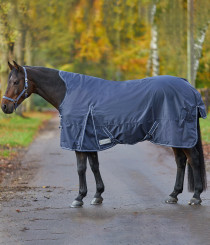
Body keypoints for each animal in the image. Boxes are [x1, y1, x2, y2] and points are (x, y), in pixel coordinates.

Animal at [0, 60, 207, 207]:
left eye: (16, 82)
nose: (5, 107)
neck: (68, 92)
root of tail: (188, 86)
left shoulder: (79, 139)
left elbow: (81, 168)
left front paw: (79, 197)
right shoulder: (89, 140)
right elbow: (94, 166)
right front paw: (97, 195)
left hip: (178, 134)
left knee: (194, 159)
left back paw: (196, 197)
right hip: (174, 136)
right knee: (181, 161)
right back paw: (173, 195)